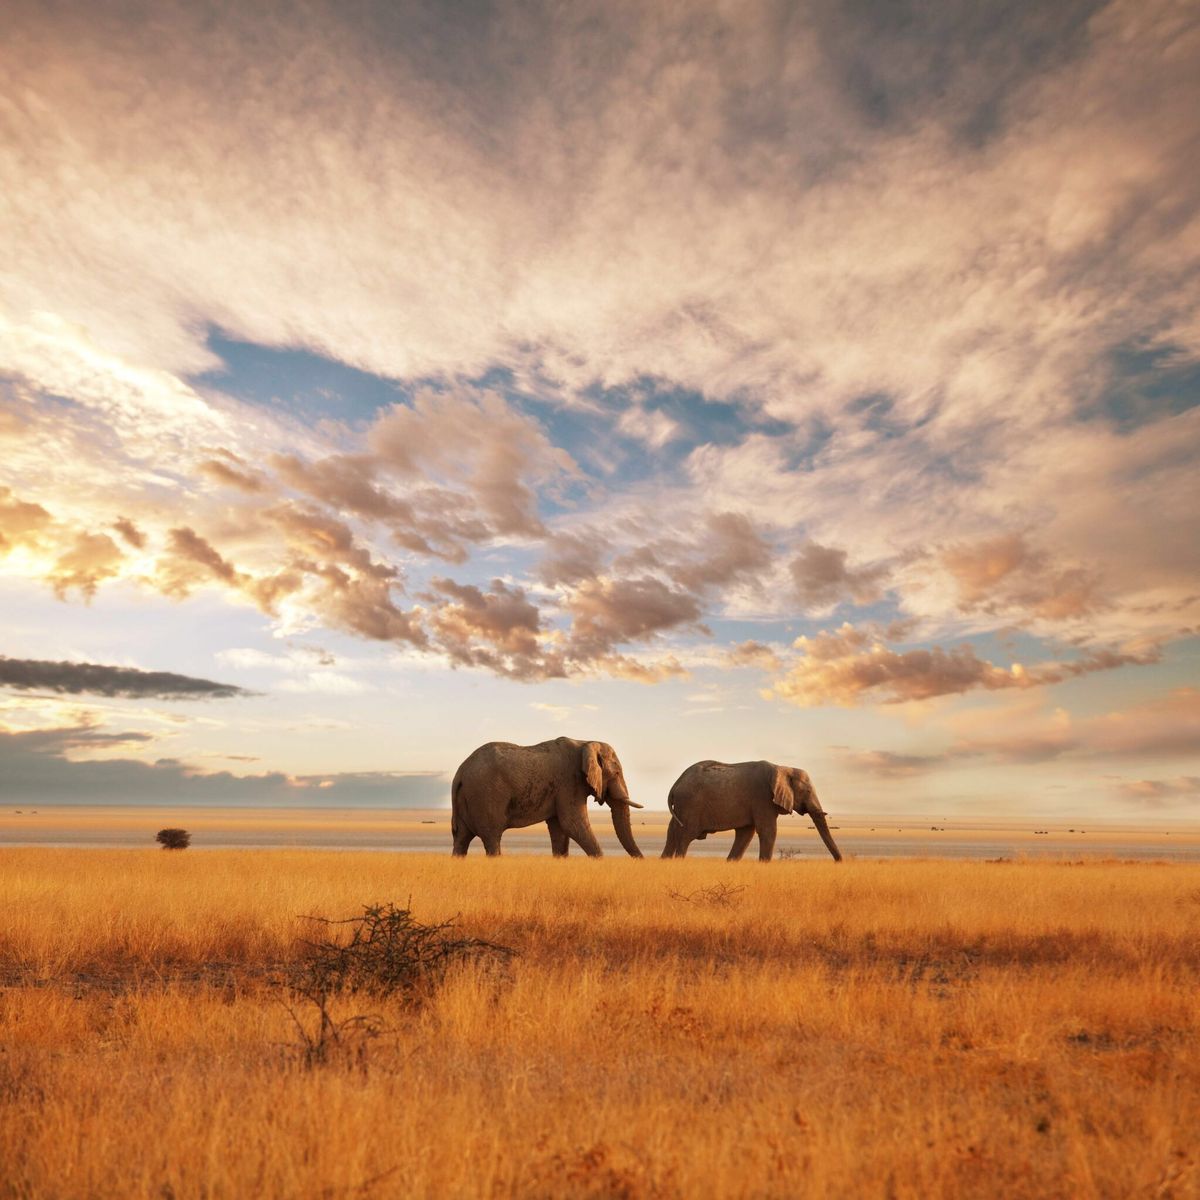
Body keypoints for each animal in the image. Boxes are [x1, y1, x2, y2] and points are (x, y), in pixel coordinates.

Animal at [451, 737, 644, 857]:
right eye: (616, 773)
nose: (641, 860)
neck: (586, 742)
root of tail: (460, 771)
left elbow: (560, 829)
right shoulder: (569, 783)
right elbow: (573, 824)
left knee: (461, 839)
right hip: (485, 796)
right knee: (492, 838)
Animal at [661, 759, 843, 862]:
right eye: (808, 791)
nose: (839, 862)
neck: (783, 768)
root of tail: (676, 784)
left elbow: (746, 834)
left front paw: (731, 863)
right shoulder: (762, 799)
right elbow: (768, 831)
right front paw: (764, 864)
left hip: (682, 806)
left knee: (672, 832)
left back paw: (664, 861)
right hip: (690, 805)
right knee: (686, 836)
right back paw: (678, 861)